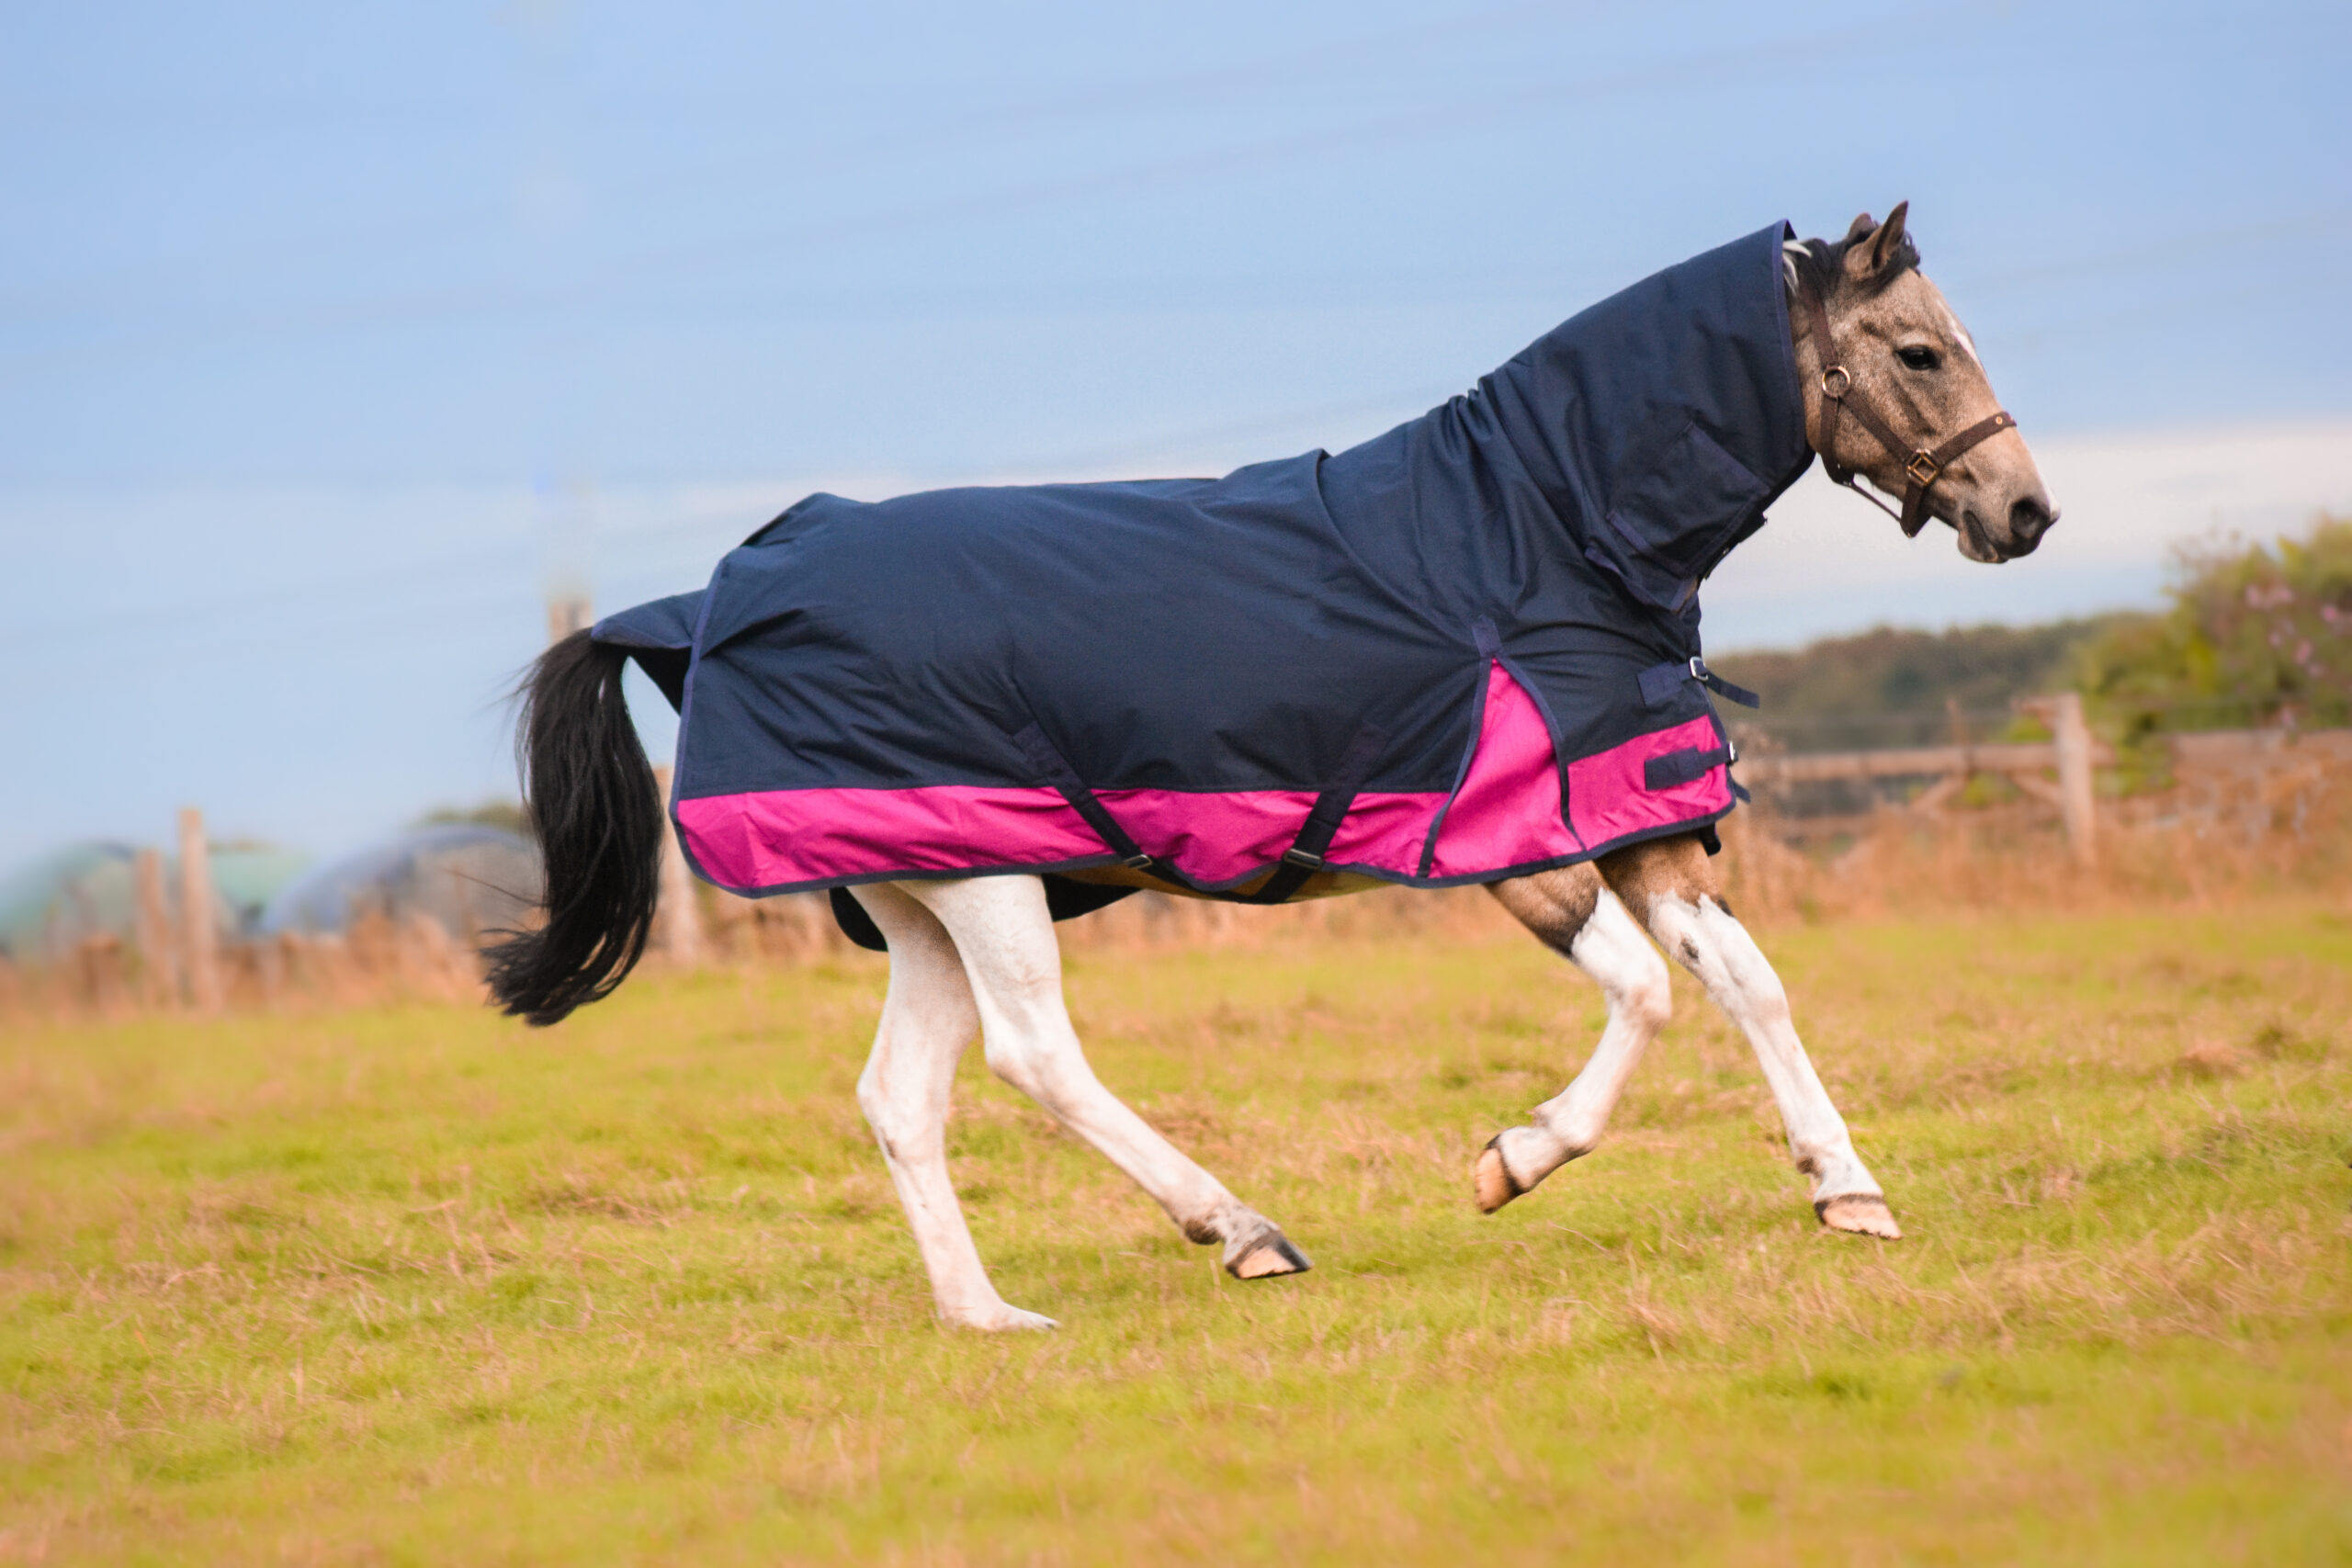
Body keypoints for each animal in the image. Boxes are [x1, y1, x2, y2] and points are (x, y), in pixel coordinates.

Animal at [487, 205, 2056, 1331]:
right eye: (1920, 352)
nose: (2028, 510)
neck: (1534, 527)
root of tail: (704, 600)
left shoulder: (1638, 825)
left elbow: (1749, 984)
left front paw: (1848, 1191)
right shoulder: (1523, 853)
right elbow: (1649, 999)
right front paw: (1513, 1158)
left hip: (926, 890)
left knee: (901, 1098)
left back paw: (990, 1315)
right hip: (992, 878)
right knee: (1036, 1056)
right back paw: (1243, 1231)